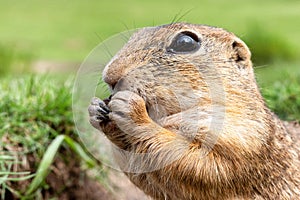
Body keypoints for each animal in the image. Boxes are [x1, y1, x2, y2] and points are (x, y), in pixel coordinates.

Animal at [88, 22, 298, 199]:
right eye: (134, 36)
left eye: (185, 42)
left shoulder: (244, 137)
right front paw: (96, 108)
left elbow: (201, 162)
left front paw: (131, 109)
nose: (109, 76)